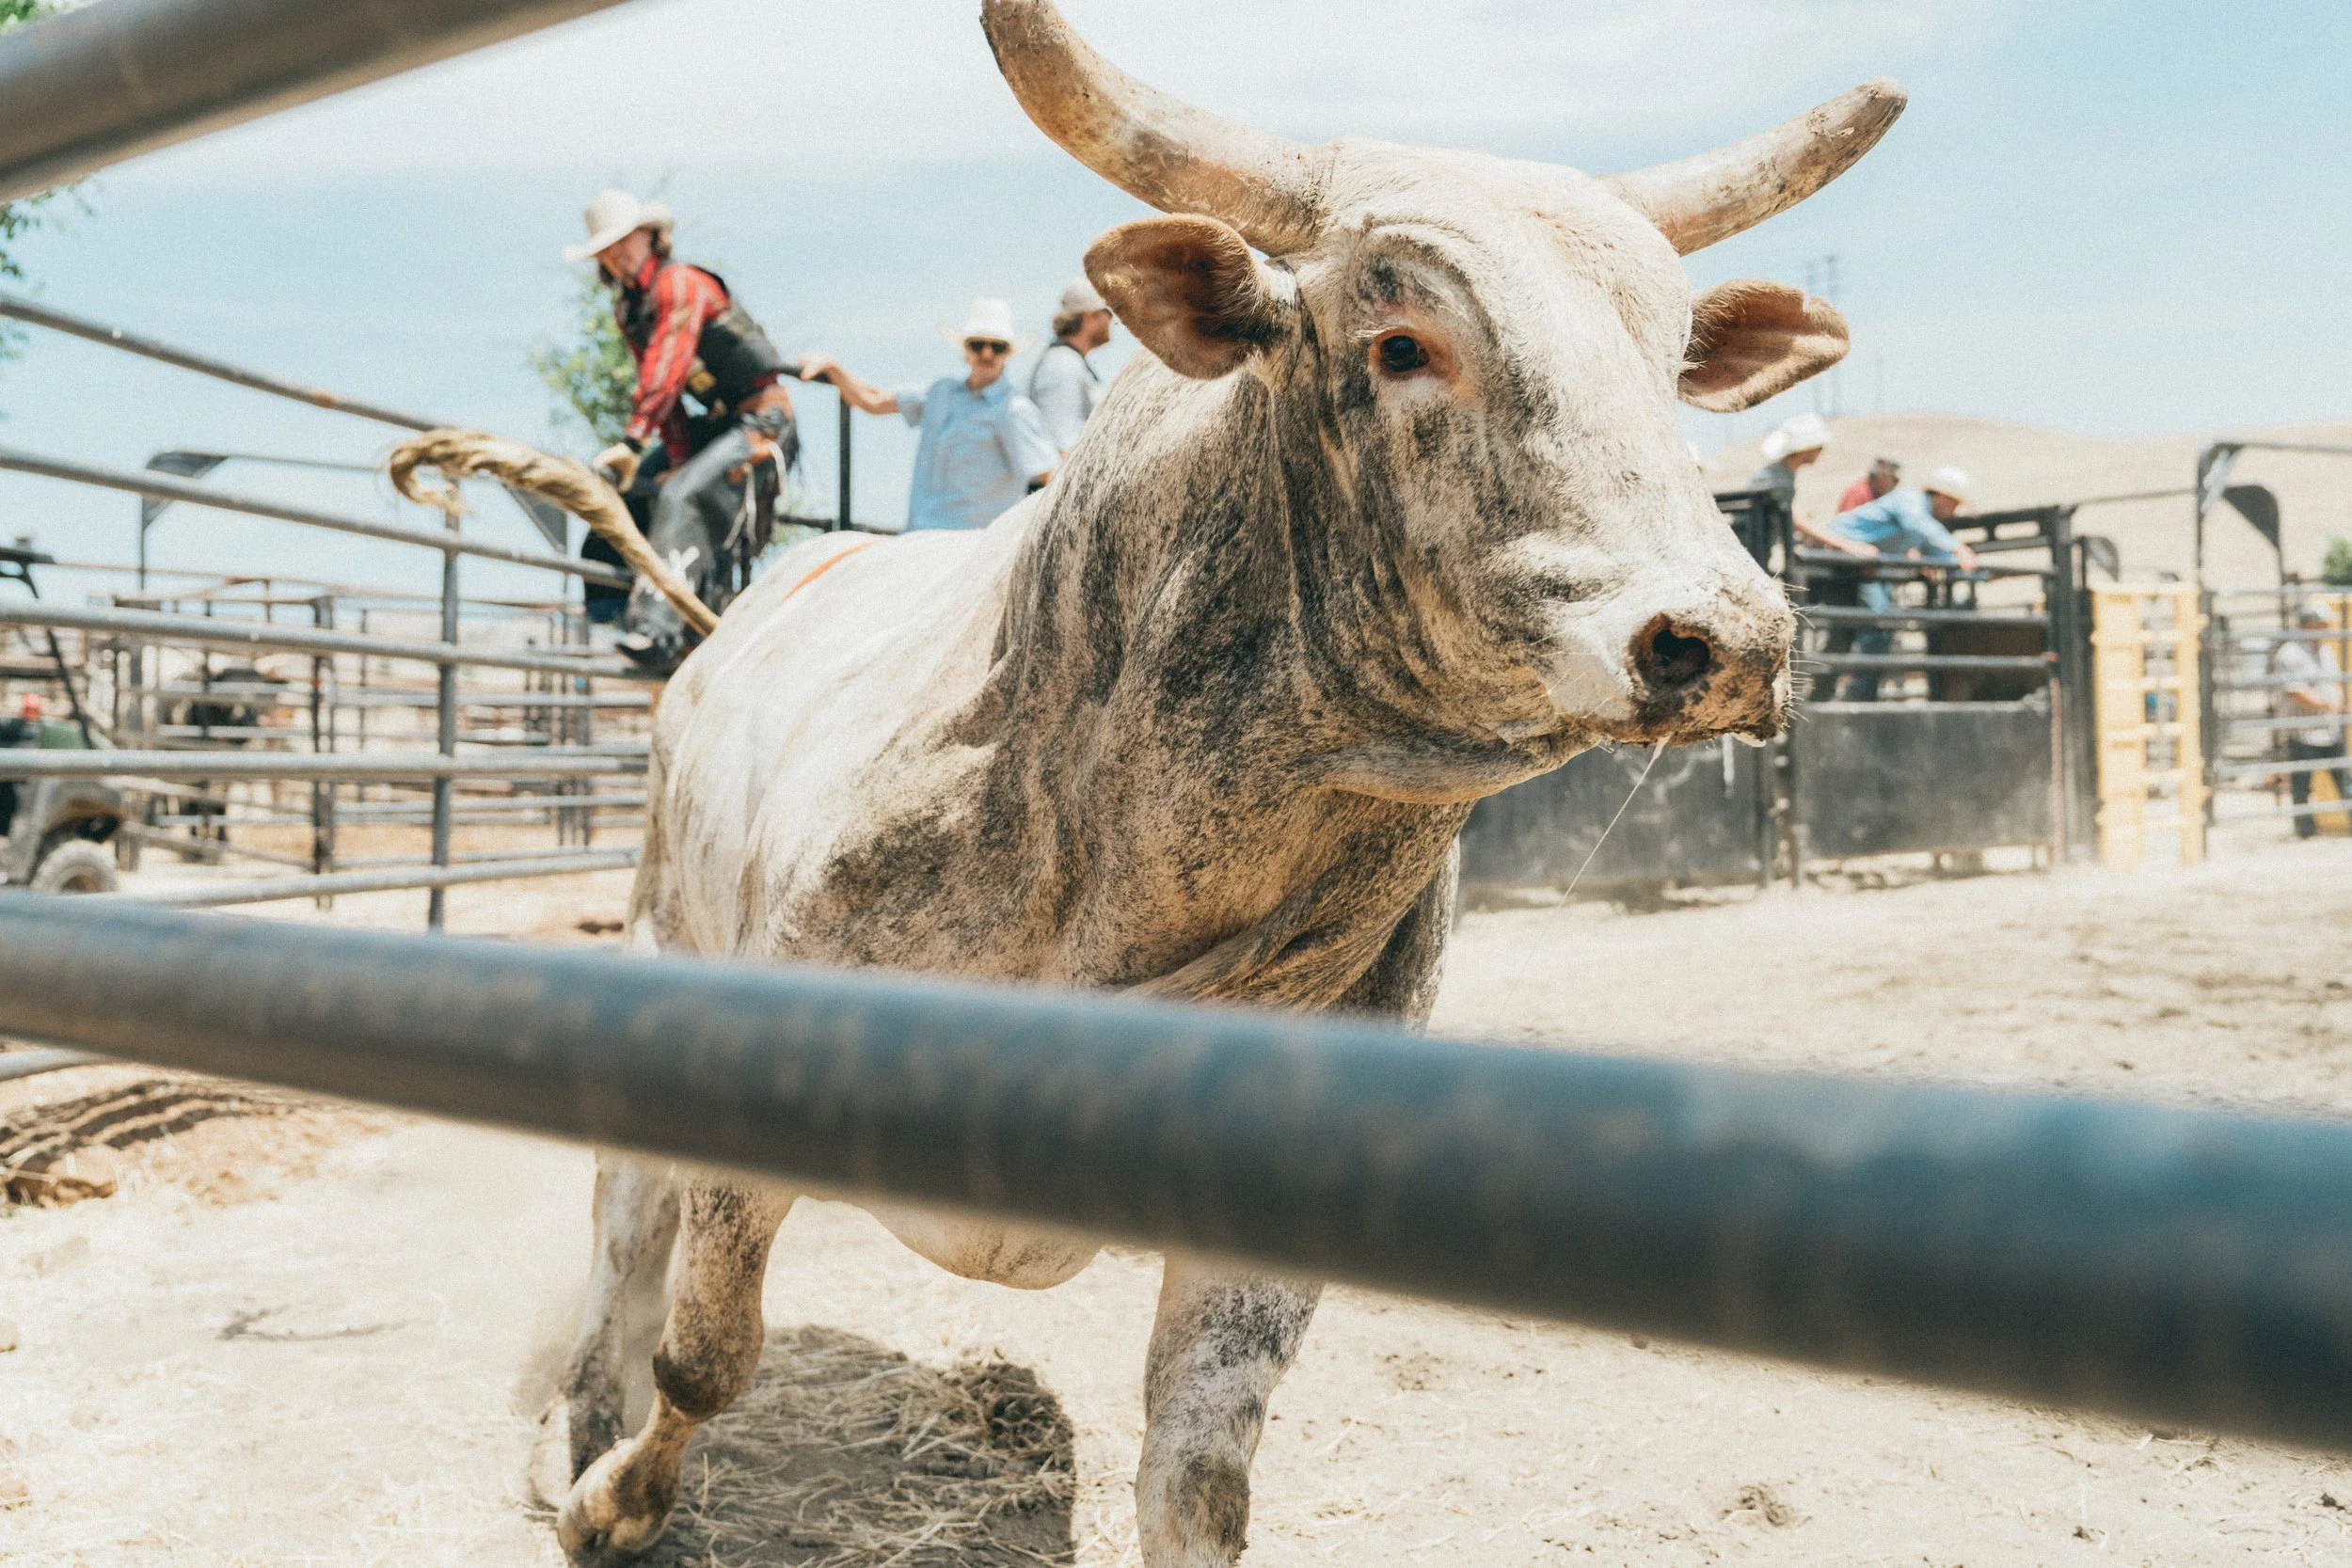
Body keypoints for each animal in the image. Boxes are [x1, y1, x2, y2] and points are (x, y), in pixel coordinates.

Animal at [538, 4, 1902, 1563]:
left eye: (1674, 364)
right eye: (1401, 340)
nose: (1728, 638)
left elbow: (1199, 1476)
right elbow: (707, 1351)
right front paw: (614, 1498)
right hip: (660, 939)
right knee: (624, 1229)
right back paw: (581, 1415)